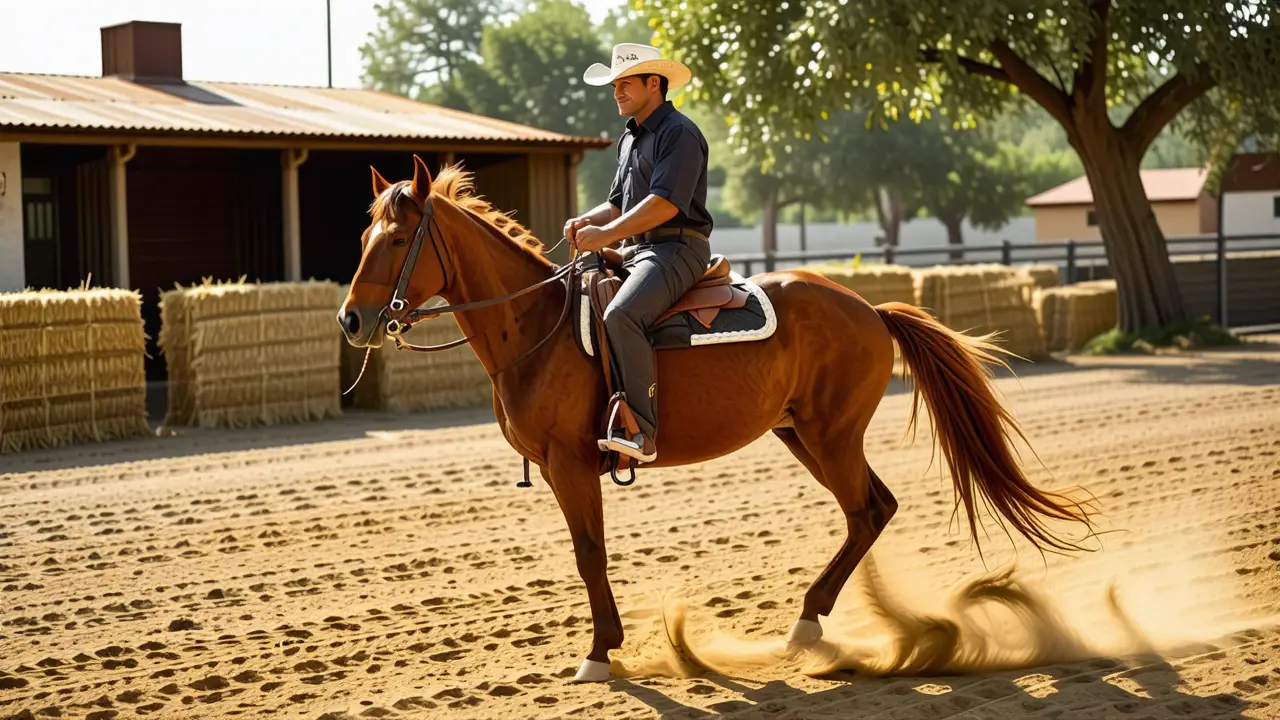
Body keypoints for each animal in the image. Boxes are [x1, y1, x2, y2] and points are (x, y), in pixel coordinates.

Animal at [337, 155, 1096, 683]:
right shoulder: (560, 470)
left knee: (866, 510)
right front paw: (607, 645)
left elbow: (589, 554)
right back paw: (813, 620)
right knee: (872, 509)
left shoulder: (571, 464)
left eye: (397, 238)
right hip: (802, 435)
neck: (537, 325)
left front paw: (600, 653)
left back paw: (807, 625)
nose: (351, 320)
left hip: (830, 436)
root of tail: (867, 308)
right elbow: (587, 554)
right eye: (363, 231)